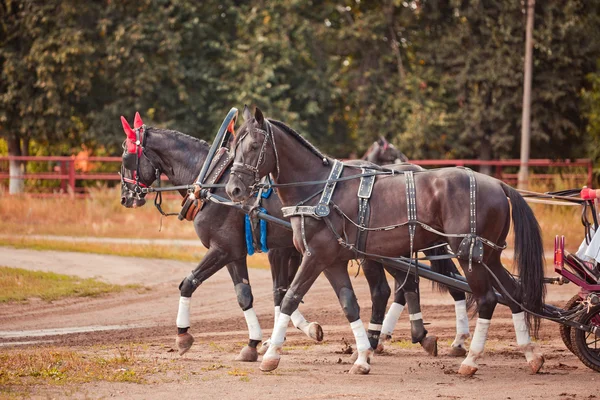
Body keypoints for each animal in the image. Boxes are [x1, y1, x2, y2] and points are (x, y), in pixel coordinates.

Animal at [226, 106, 548, 376]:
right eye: (233, 148)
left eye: (253, 147)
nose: (233, 188)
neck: (321, 189)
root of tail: (498, 184)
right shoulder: (332, 261)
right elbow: (350, 305)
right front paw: (362, 356)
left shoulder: (315, 256)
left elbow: (290, 297)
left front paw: (272, 354)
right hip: (488, 256)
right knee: (513, 293)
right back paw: (530, 353)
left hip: (468, 254)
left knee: (486, 299)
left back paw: (470, 359)